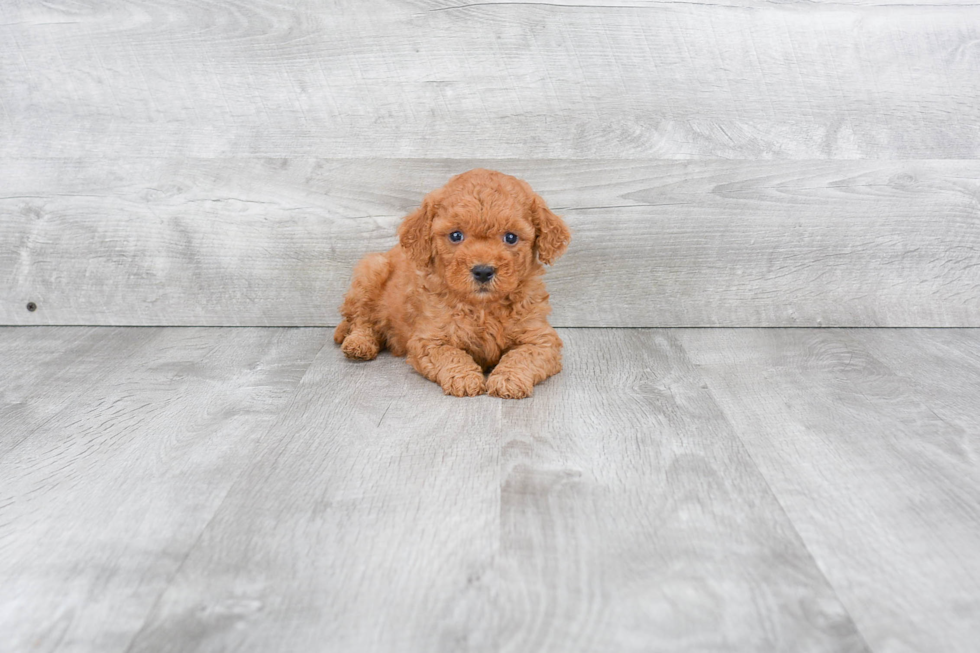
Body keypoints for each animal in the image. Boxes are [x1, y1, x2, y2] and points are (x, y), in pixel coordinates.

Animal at [334, 168, 572, 398]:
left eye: (511, 237)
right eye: (456, 235)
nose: (483, 271)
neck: (483, 308)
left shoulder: (541, 338)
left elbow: (523, 355)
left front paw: (508, 379)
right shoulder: (430, 339)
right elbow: (451, 354)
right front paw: (464, 379)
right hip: (371, 271)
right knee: (361, 320)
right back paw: (359, 344)